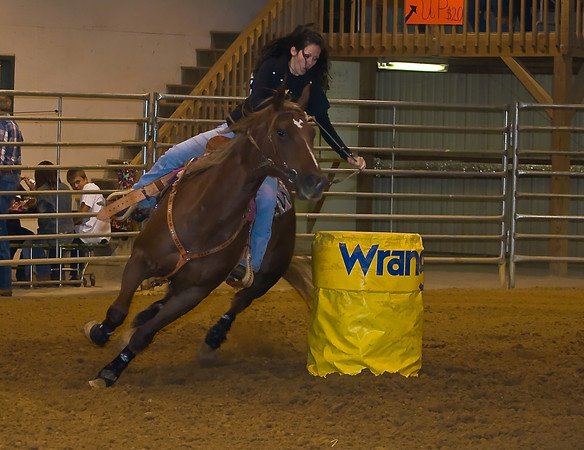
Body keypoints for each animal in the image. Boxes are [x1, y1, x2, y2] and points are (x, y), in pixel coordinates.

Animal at [84, 88, 326, 386]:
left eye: (312, 133)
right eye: (281, 132)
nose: (316, 181)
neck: (203, 215)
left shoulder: (195, 292)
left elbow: (145, 336)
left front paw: (111, 371)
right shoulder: (140, 260)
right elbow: (117, 311)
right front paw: (99, 332)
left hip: (267, 275)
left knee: (239, 302)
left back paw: (212, 339)